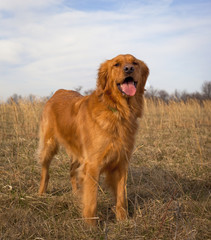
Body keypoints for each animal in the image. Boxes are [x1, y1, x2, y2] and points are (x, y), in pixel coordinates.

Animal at [38, 54, 150, 225]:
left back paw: (76, 193)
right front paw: (91, 225)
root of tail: (58, 91)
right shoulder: (92, 164)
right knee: (45, 171)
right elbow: (91, 200)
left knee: (72, 171)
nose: (129, 69)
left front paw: (123, 220)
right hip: (49, 144)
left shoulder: (121, 163)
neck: (118, 111)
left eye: (135, 63)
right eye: (116, 64)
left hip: (77, 153)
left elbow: (121, 197)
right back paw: (41, 193)